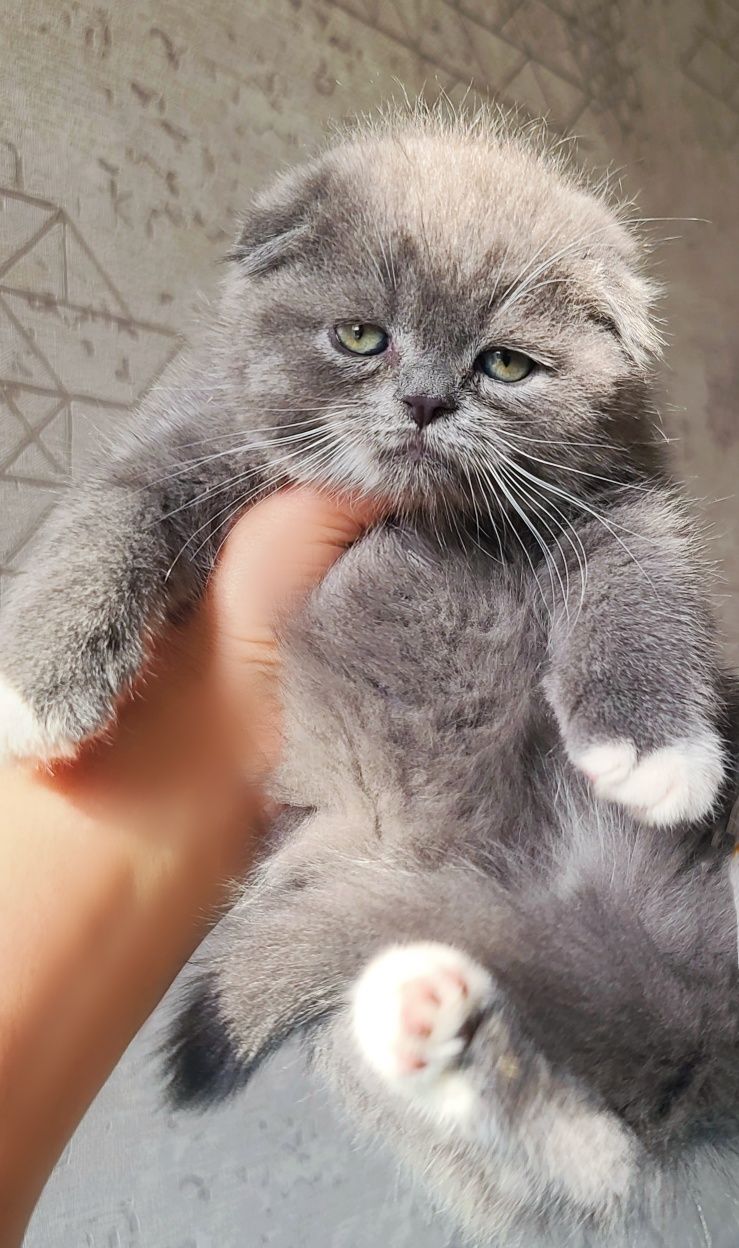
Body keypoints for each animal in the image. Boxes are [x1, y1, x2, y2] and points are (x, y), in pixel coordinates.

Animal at [1, 112, 739, 1243]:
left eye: (505, 364)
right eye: (359, 337)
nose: (426, 399)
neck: (422, 517)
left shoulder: (622, 489)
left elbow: (641, 571)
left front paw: (652, 751)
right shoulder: (188, 435)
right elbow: (110, 509)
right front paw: (36, 690)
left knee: (596, 1160)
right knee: (577, 1152)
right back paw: (432, 1025)